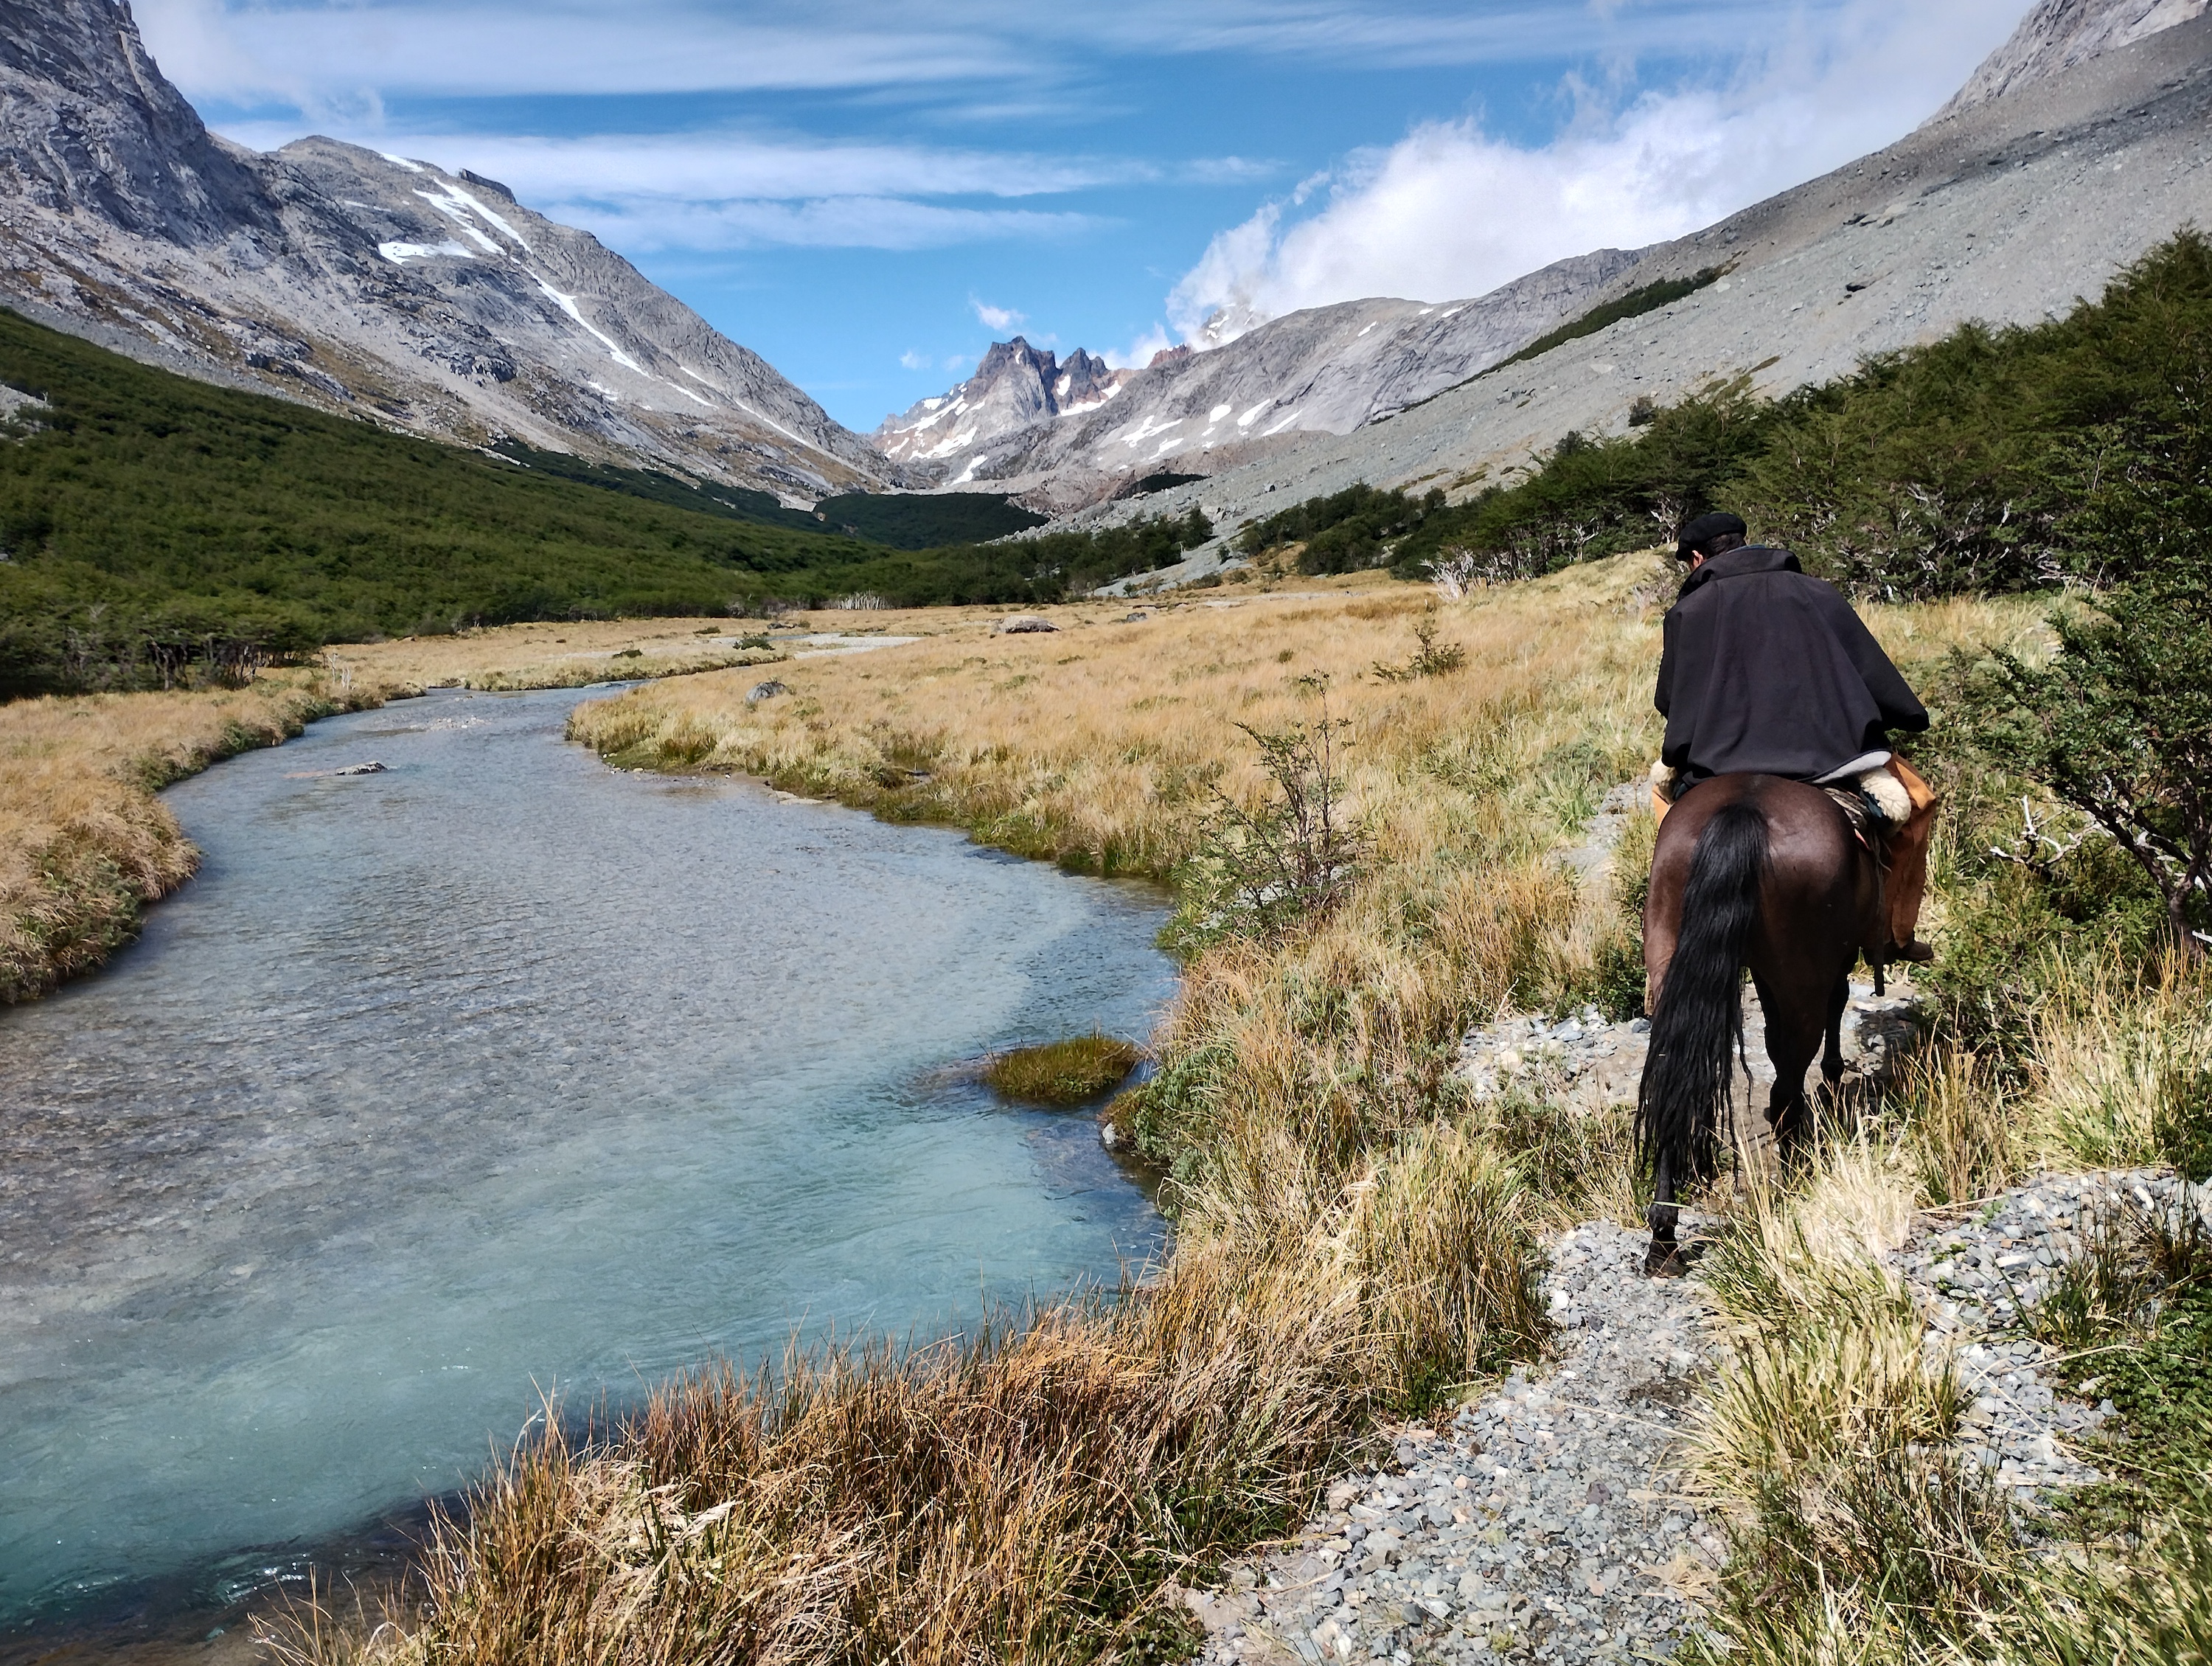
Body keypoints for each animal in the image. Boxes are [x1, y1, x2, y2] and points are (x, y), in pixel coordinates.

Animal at [1634, 773, 1886, 1276]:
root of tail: (1743, 809)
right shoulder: (1834, 961)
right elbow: (1833, 1005)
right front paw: (1832, 1077)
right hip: (1802, 974)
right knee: (1788, 1077)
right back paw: (1792, 1174)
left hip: (1671, 956)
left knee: (1675, 1075)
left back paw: (1663, 1235)